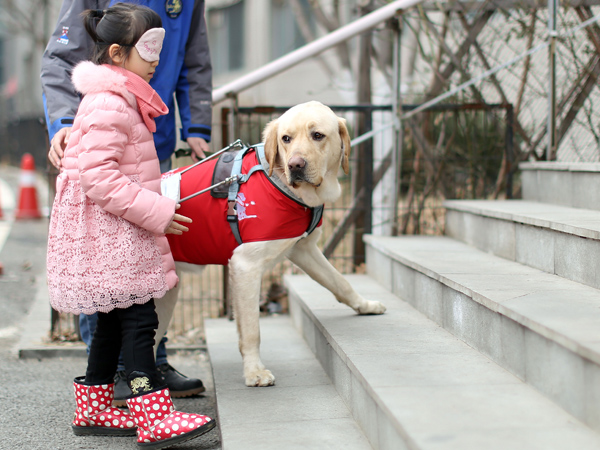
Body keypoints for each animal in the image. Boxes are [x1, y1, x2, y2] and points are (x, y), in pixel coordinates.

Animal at [157, 101, 386, 386]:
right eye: (286, 139)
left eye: (317, 135)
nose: (295, 165)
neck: (280, 183)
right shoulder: (245, 266)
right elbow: (252, 329)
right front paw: (254, 371)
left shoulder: (303, 250)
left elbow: (340, 282)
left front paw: (364, 305)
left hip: (166, 297)